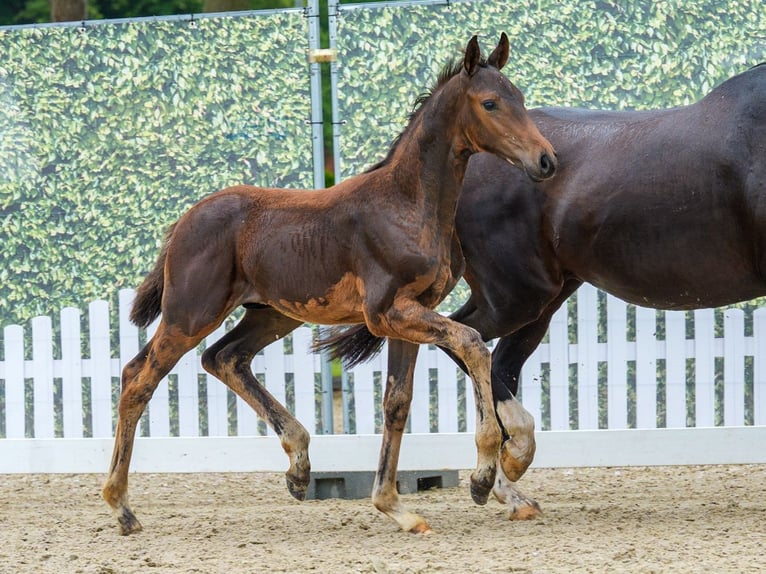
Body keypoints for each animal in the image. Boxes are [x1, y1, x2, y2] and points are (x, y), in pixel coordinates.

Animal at [101, 33, 557, 536]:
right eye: (490, 103)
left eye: (520, 98)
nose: (546, 160)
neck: (408, 204)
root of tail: (184, 220)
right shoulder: (387, 313)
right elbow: (473, 342)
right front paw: (482, 476)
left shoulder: (410, 314)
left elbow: (397, 401)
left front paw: (393, 506)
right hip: (190, 314)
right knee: (138, 377)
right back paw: (122, 507)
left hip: (271, 315)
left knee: (224, 357)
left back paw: (299, 468)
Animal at [318, 62, 766, 519]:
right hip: (518, 295)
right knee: (465, 340)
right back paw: (505, 464)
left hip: (543, 299)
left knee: (495, 361)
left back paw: (505, 483)